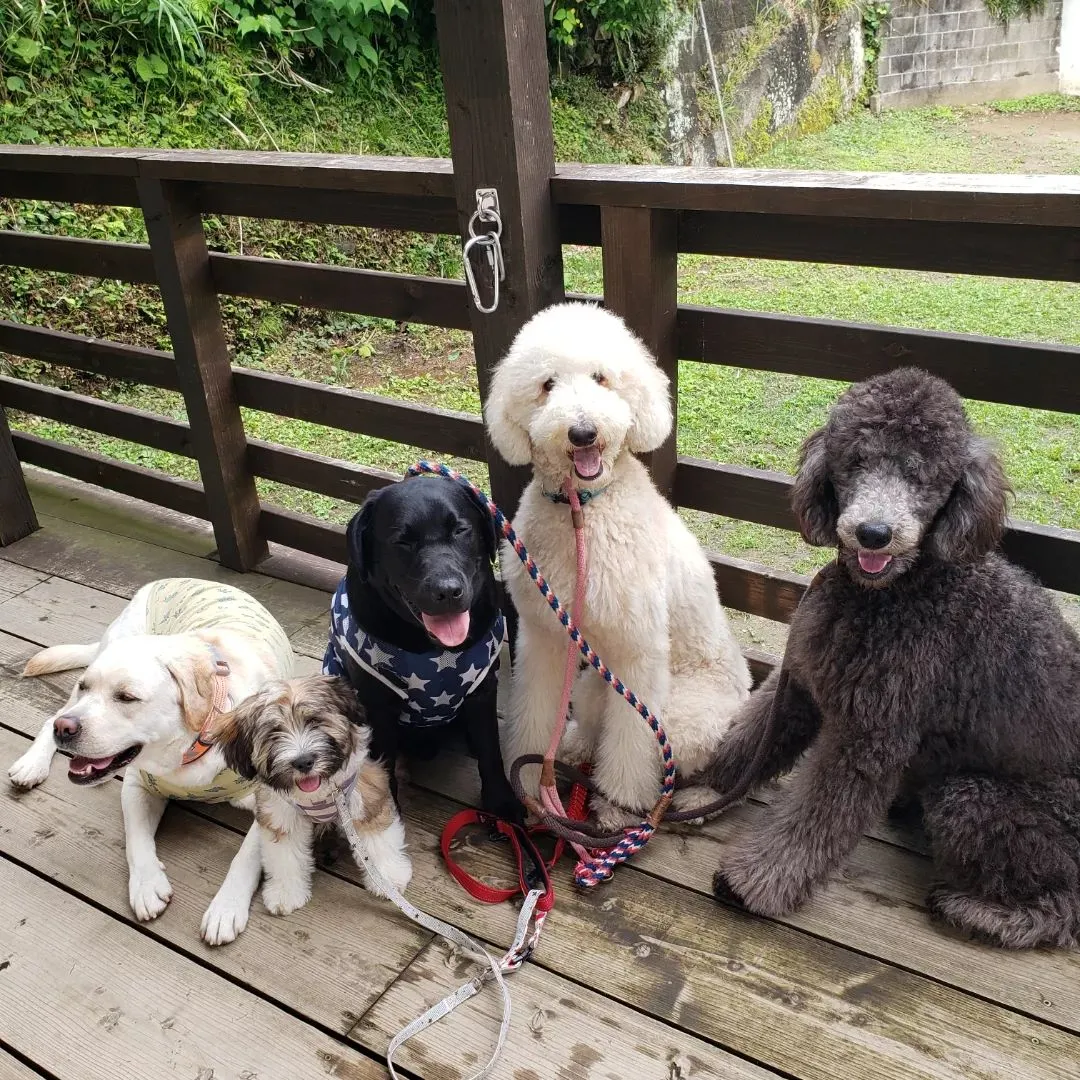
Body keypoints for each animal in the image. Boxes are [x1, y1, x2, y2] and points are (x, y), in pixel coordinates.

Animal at [210, 673, 408, 911]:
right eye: (274, 733)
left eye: (314, 721)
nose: (303, 762)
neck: (321, 794)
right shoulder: (281, 814)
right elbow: (285, 857)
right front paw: (286, 892)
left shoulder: (365, 793)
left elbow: (379, 841)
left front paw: (389, 877)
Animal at [490, 304, 751, 825]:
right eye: (547, 384)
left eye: (602, 378)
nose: (583, 432)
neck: (583, 512)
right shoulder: (544, 635)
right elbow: (535, 712)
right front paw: (531, 785)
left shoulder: (639, 650)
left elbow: (633, 743)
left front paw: (621, 805)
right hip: (592, 684)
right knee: (594, 725)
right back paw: (573, 749)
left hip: (687, 716)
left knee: (711, 769)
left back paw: (691, 802)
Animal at [704, 369, 1080, 946]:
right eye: (856, 460)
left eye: (920, 474)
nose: (873, 533)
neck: (888, 594)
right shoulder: (803, 681)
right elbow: (752, 738)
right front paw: (697, 787)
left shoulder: (870, 733)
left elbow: (816, 818)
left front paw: (754, 884)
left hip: (975, 800)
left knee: (1060, 906)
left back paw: (977, 911)